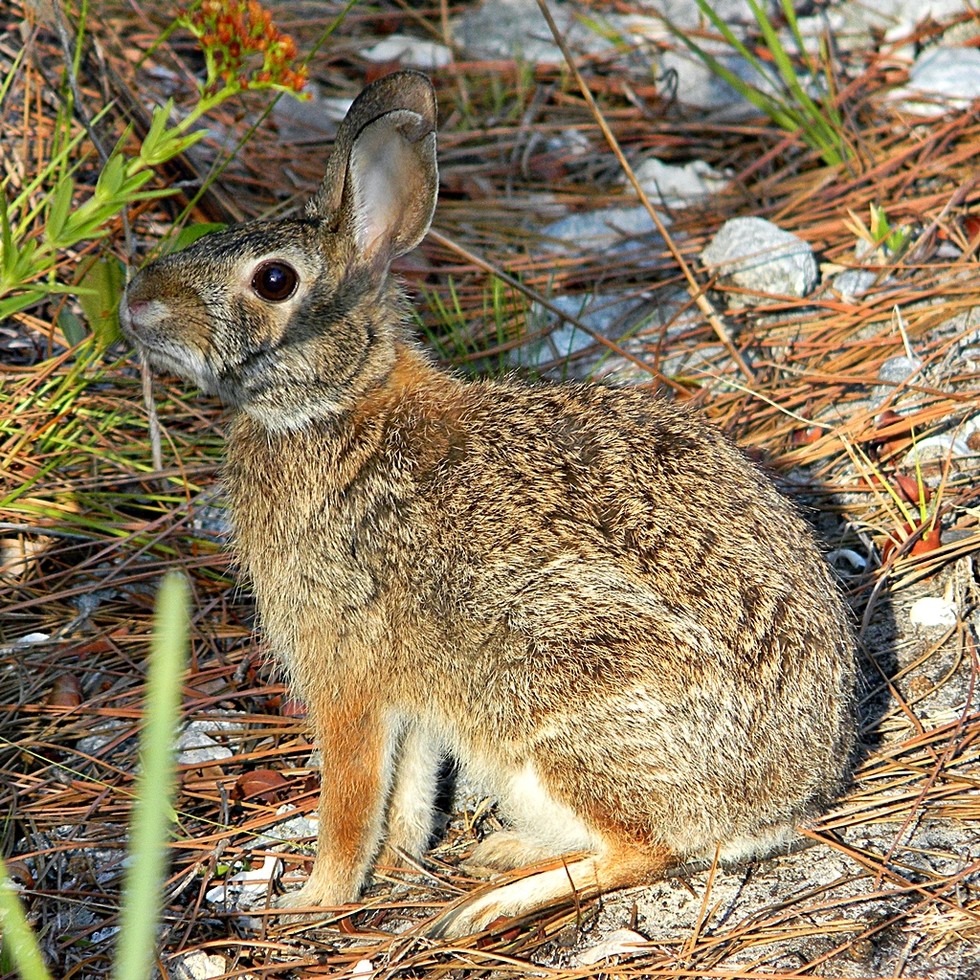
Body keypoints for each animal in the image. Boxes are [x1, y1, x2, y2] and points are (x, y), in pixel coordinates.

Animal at [120, 71, 856, 940]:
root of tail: (781, 803)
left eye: (274, 281)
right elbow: (406, 792)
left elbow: (350, 800)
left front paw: (311, 903)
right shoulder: (414, 699)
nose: (137, 302)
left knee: (644, 851)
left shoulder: (345, 669)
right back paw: (501, 856)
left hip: (564, 710)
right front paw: (396, 870)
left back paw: (489, 904)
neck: (337, 403)